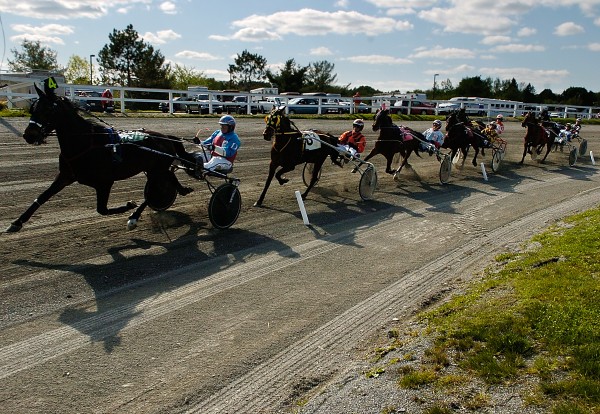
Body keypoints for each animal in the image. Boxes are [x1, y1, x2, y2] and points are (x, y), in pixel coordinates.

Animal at [7, 81, 195, 233]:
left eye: (48, 109)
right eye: (33, 108)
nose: (29, 135)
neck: (85, 144)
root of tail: (166, 137)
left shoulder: (104, 182)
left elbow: (102, 210)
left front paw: (129, 206)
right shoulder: (65, 176)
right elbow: (42, 196)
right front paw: (17, 222)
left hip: (156, 169)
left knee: (152, 193)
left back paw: (134, 217)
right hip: (154, 169)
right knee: (168, 177)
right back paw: (182, 190)